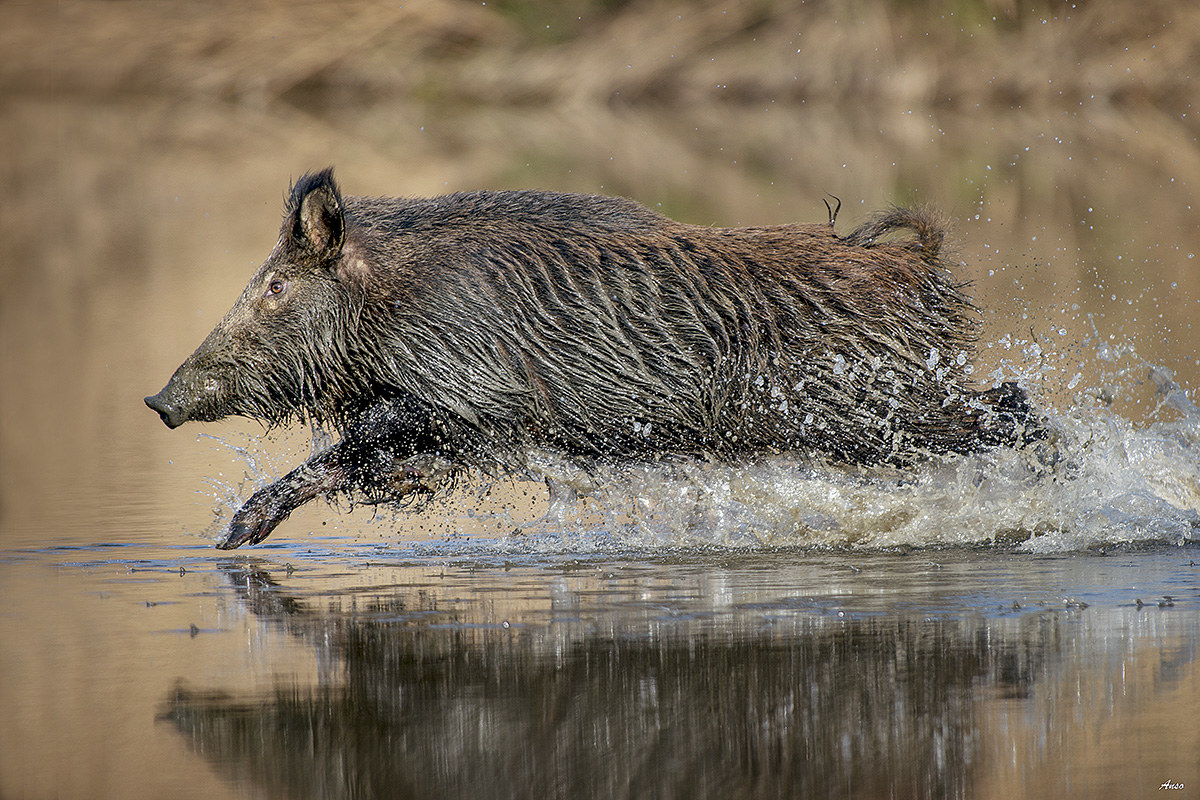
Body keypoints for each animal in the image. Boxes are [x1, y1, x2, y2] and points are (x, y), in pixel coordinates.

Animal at [146, 168, 1038, 548]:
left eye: (274, 288)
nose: (158, 402)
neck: (392, 304)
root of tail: (919, 267)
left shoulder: (479, 397)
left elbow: (364, 438)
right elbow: (345, 463)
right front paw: (235, 540)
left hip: (880, 412)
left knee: (1016, 409)